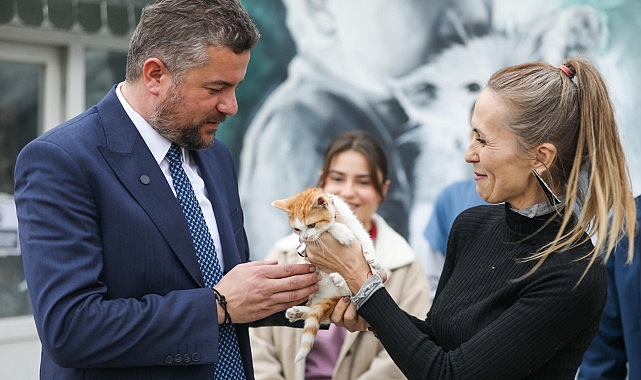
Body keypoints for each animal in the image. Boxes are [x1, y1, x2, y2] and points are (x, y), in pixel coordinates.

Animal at [272, 187, 384, 362]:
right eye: (297, 229)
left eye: (311, 225)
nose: (305, 237)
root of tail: (331, 296)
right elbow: (330, 227)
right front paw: (341, 232)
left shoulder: (355, 225)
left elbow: (364, 240)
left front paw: (374, 262)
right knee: (326, 312)